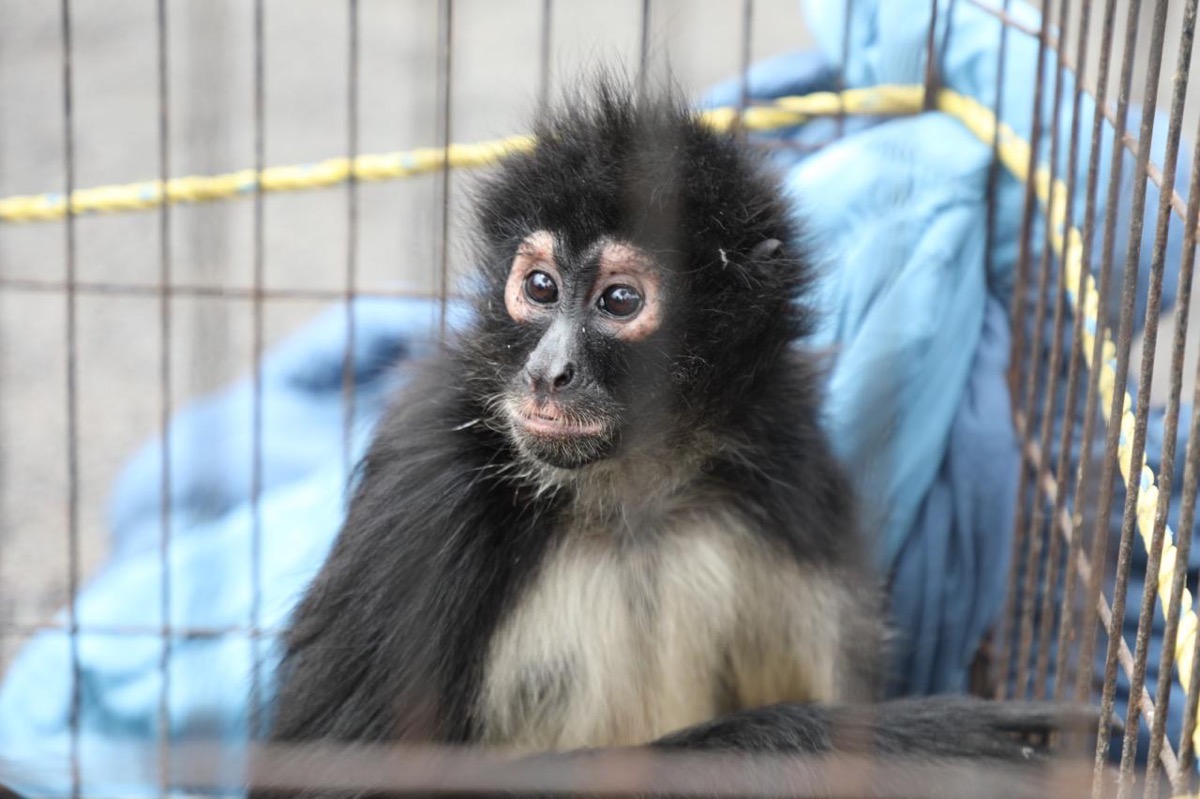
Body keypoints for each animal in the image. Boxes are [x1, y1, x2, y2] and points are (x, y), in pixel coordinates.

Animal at [256, 76, 1091, 794]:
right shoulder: (430, 477)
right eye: (539, 287)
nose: (548, 372)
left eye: (620, 300)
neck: (632, 501)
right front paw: (913, 746)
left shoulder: (786, 463)